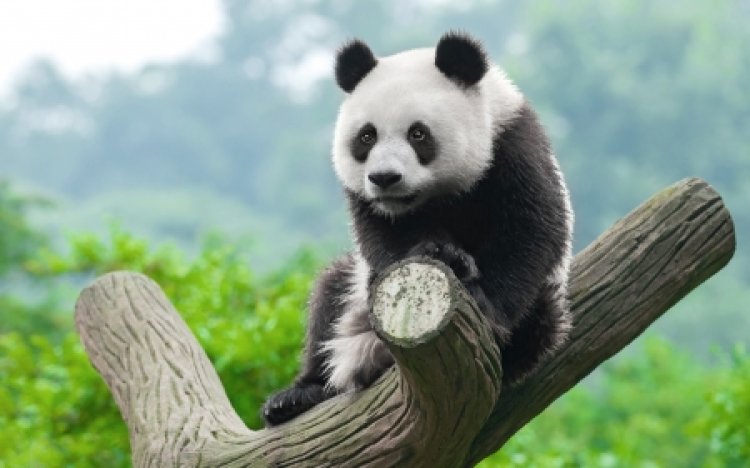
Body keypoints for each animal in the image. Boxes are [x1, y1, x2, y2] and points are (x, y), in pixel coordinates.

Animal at [262, 32, 573, 427]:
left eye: (418, 134)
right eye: (366, 137)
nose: (385, 178)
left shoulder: (512, 146)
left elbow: (531, 231)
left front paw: (481, 300)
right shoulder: (371, 206)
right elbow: (383, 239)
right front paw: (439, 252)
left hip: (546, 304)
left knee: (541, 323)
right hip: (354, 296)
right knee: (328, 299)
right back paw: (295, 397)